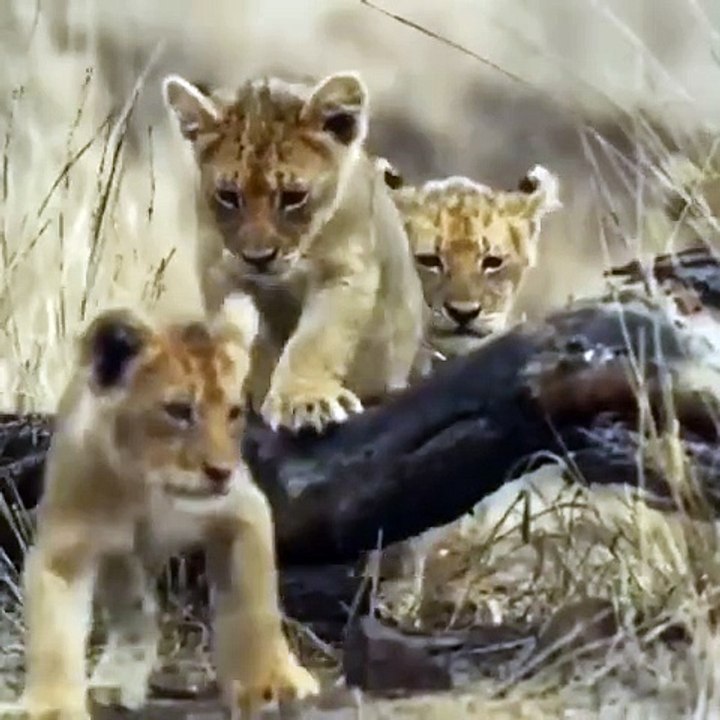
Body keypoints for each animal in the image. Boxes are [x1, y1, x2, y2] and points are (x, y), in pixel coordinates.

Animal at [21, 296, 318, 720]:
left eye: (233, 413)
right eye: (179, 411)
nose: (221, 472)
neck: (146, 488)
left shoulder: (243, 509)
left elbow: (255, 608)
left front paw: (272, 683)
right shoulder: (66, 547)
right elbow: (54, 637)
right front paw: (50, 707)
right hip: (120, 562)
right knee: (137, 615)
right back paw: (117, 681)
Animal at [161, 72, 426, 432]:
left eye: (293, 197)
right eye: (229, 196)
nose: (258, 258)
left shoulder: (344, 273)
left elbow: (316, 340)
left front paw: (305, 400)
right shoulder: (218, 270)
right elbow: (233, 330)